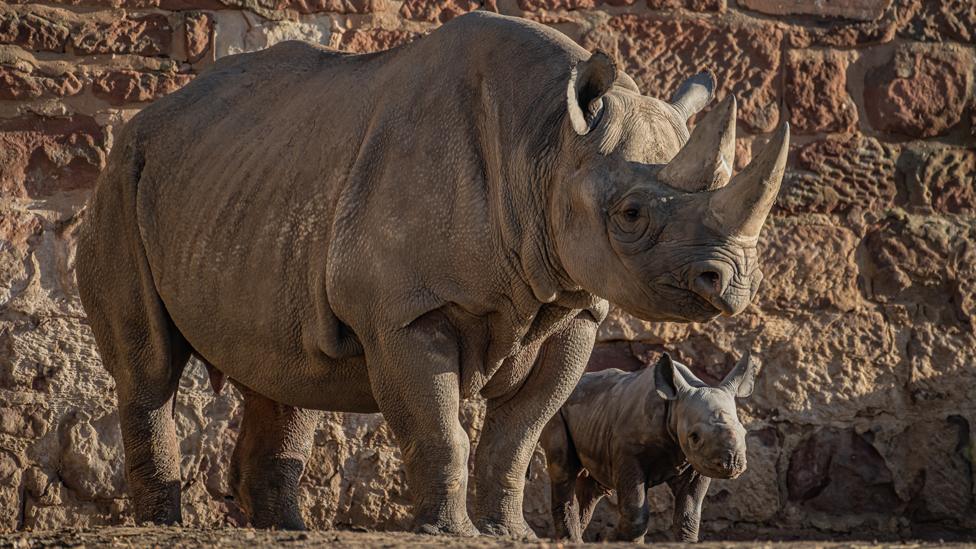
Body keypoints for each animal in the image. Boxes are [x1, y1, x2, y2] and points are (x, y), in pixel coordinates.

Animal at [540, 352, 756, 540]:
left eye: (745, 433)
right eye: (694, 437)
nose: (732, 464)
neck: (674, 405)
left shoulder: (696, 462)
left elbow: (688, 517)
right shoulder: (628, 452)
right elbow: (636, 513)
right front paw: (612, 540)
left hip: (595, 413)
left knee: (593, 488)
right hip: (556, 410)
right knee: (563, 469)